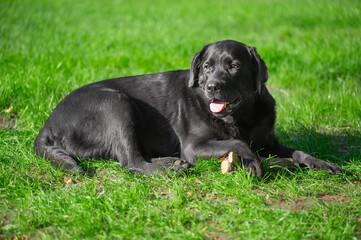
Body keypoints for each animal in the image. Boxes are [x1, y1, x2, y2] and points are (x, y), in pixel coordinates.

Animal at [32, 40, 342, 177]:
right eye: (207, 67)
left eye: (234, 65)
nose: (212, 86)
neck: (240, 117)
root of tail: (48, 124)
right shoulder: (194, 146)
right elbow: (240, 145)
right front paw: (256, 163)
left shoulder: (269, 140)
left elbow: (297, 151)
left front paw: (322, 163)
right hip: (115, 104)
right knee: (130, 161)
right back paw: (173, 168)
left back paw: (170, 162)